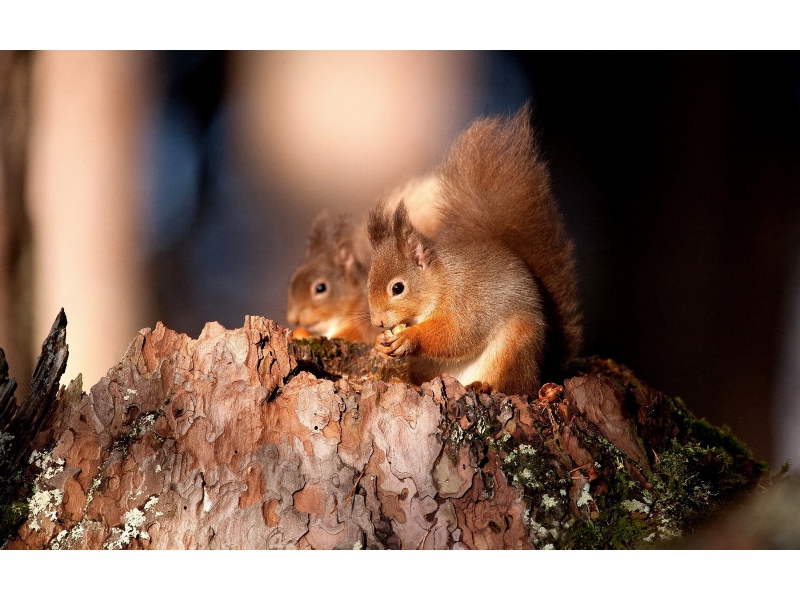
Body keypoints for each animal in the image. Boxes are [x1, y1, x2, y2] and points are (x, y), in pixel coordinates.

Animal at [368, 107, 580, 394]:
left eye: (398, 288)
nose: (377, 322)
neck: (442, 281)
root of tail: (539, 370)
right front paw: (380, 342)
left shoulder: (468, 303)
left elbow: (456, 334)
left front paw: (410, 337)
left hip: (515, 346)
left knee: (514, 386)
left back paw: (485, 386)